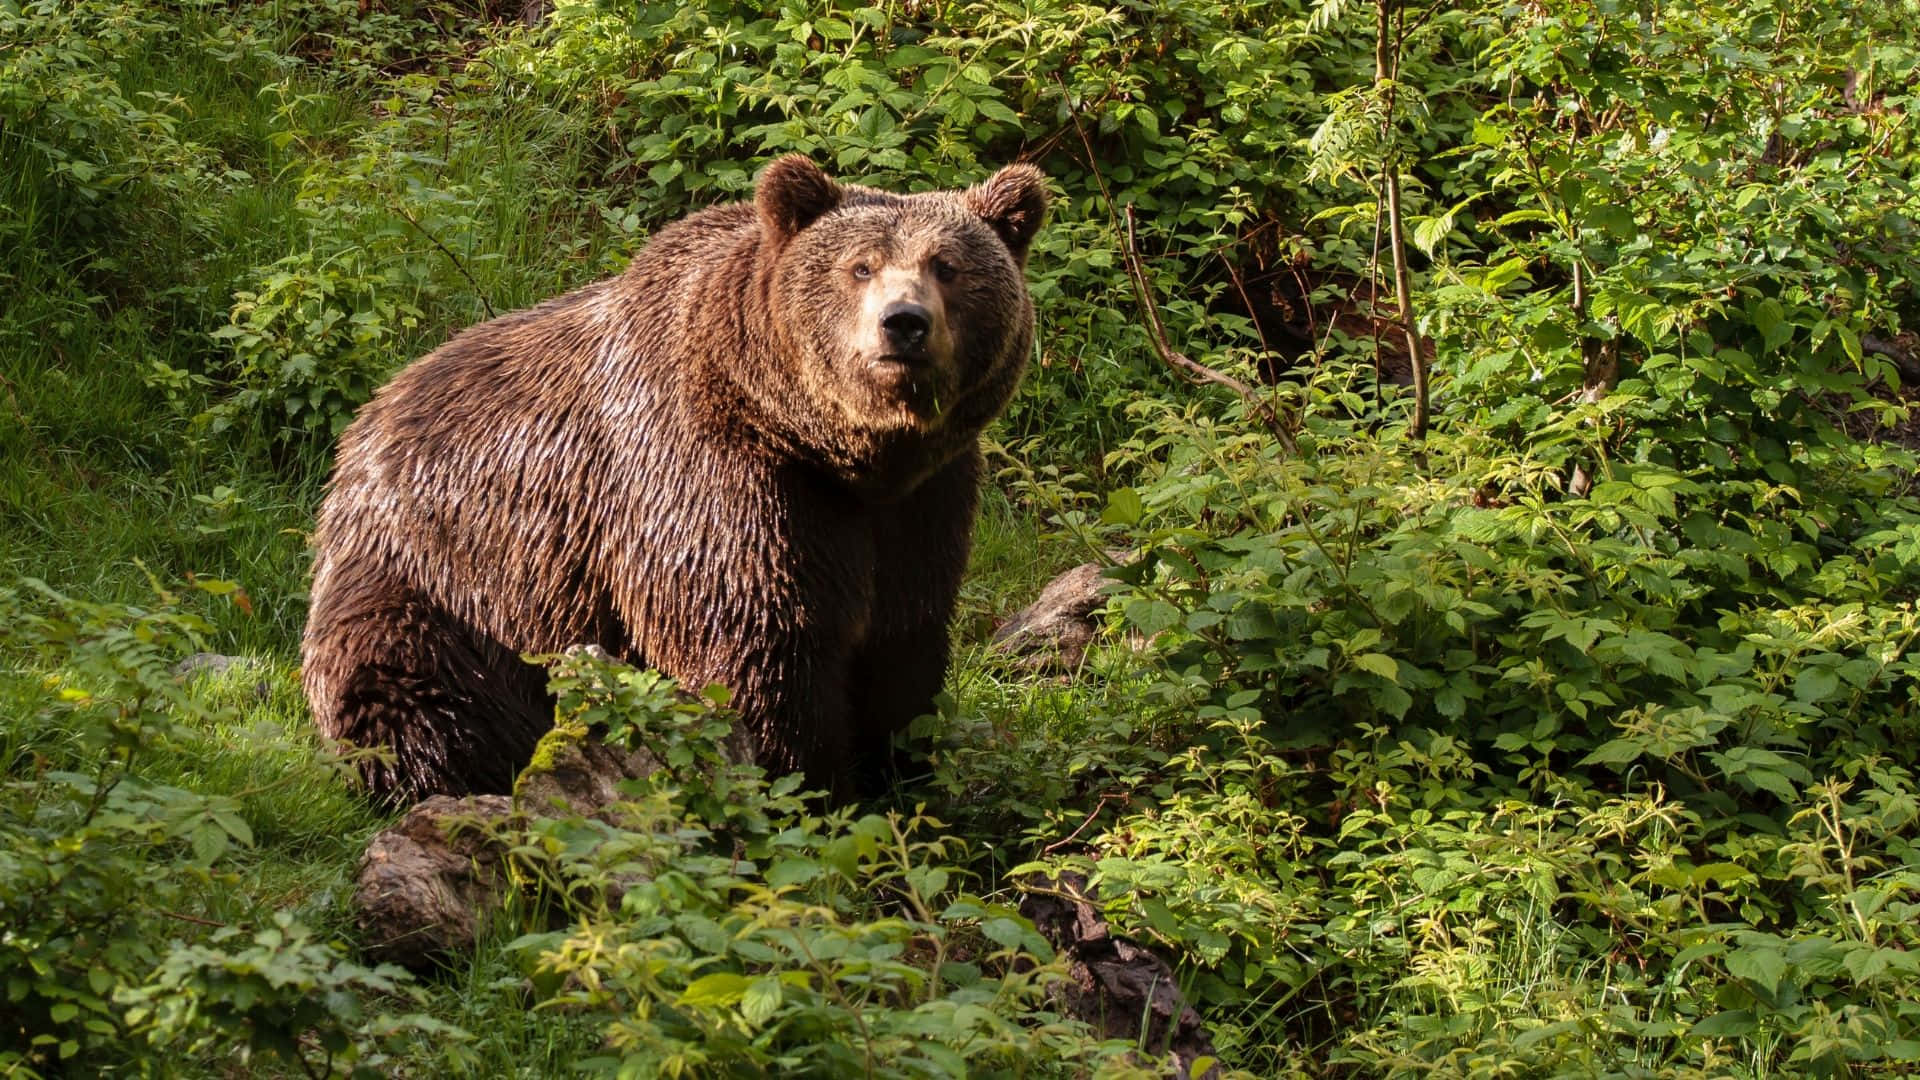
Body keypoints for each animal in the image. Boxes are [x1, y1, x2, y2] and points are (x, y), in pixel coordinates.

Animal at [301, 155, 1052, 803]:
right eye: (859, 267)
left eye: (947, 266)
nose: (904, 324)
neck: (834, 449)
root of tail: (366, 421)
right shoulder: (715, 479)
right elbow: (755, 646)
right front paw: (804, 785)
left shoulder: (922, 502)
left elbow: (903, 641)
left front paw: (901, 776)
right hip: (445, 583)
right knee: (410, 690)